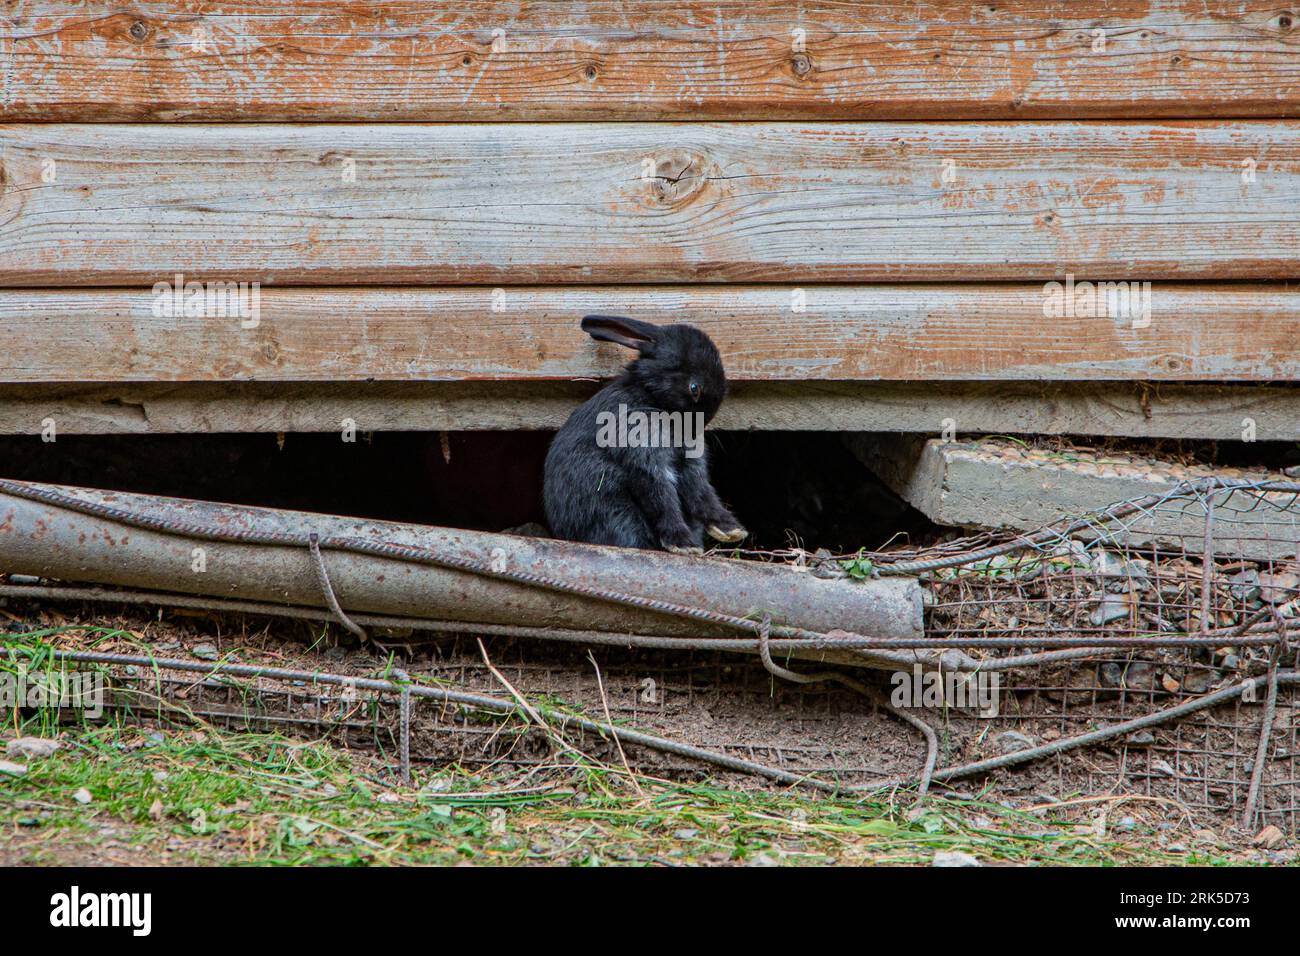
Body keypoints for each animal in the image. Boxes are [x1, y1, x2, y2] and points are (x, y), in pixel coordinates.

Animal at [543, 315, 747, 553]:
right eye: (694, 388)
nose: (697, 428)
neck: (652, 398)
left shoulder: (689, 466)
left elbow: (702, 492)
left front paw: (731, 530)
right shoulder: (644, 456)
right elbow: (662, 497)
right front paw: (683, 544)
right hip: (617, 512)